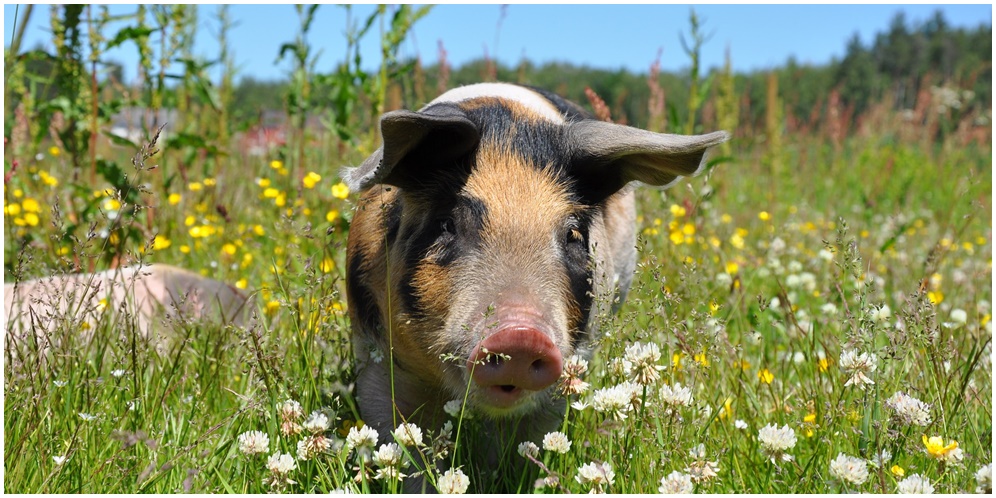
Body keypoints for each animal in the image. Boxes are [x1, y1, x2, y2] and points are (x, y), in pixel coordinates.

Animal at [342, 81, 724, 486]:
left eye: (573, 234)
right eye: (446, 224)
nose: (522, 335)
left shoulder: (568, 368)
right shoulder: (375, 356)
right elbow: (405, 447)